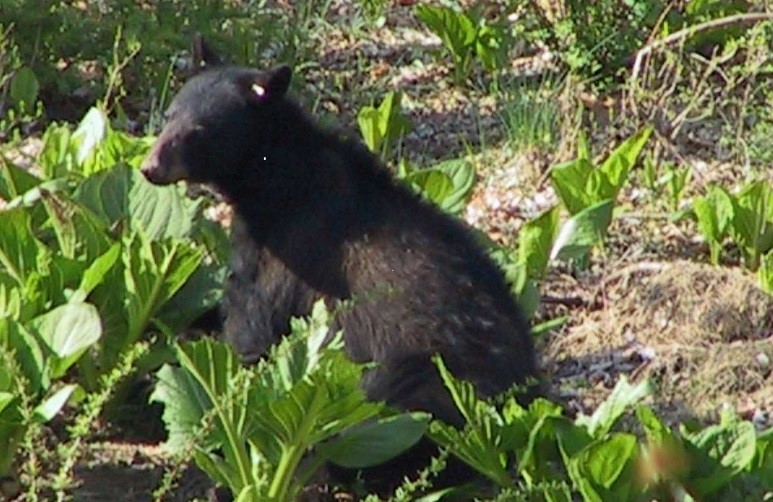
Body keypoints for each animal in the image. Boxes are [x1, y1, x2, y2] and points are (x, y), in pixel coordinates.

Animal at [143, 38, 544, 494]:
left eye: (198, 131)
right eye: (169, 116)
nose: (150, 167)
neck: (276, 179)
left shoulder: (288, 249)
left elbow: (252, 320)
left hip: (421, 383)